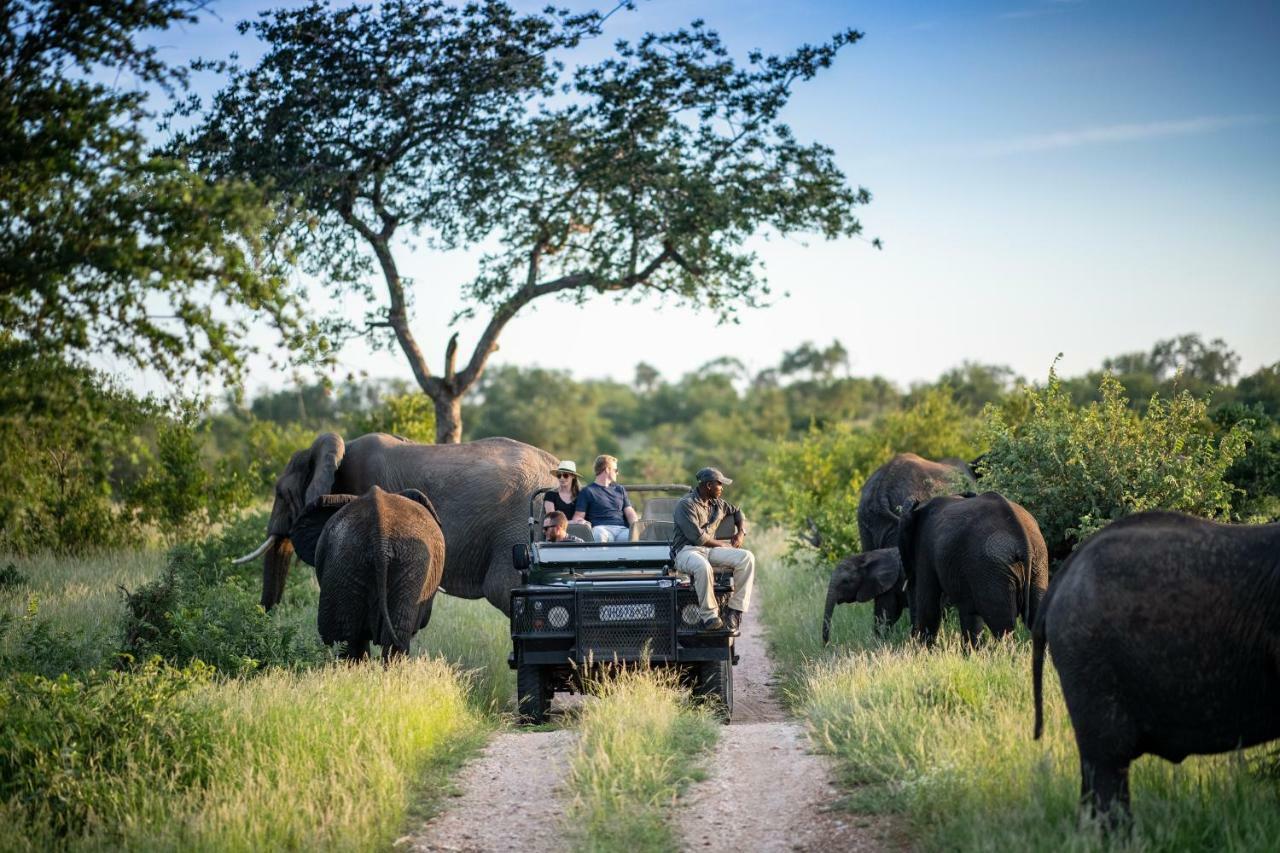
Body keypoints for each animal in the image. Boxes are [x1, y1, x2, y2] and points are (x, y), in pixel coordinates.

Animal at [896, 489, 1044, 640]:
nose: (911, 637)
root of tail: (1024, 541)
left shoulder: (925, 548)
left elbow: (929, 607)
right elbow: (970, 615)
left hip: (993, 570)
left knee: (1002, 627)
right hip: (1037, 562)